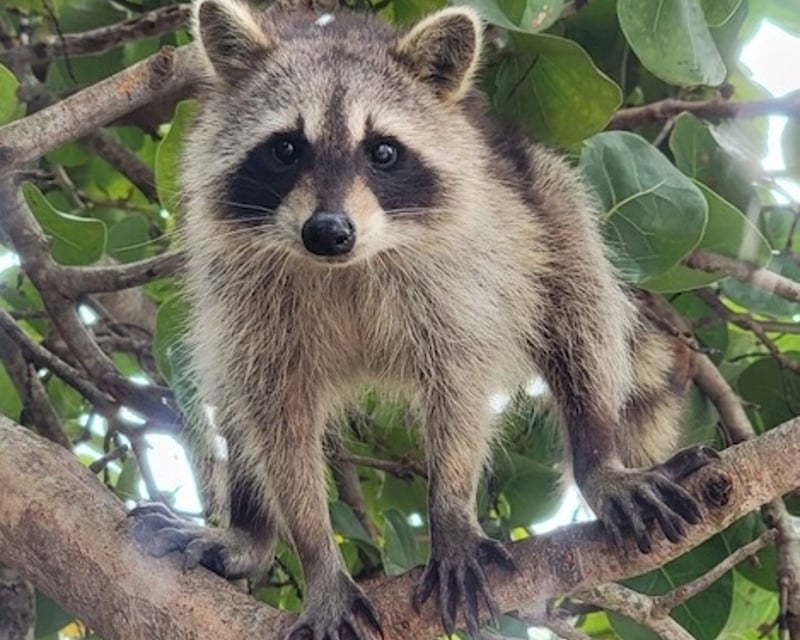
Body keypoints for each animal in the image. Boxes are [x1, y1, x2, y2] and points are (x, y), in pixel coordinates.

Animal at [131, 1, 716, 638]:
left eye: (382, 152)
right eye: (285, 148)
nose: (328, 232)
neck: (347, 265)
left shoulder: (461, 275)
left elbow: (459, 387)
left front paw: (452, 512)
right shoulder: (245, 294)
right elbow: (275, 417)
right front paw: (317, 555)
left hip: (547, 201)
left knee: (580, 312)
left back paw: (598, 457)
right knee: (232, 391)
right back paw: (250, 532)